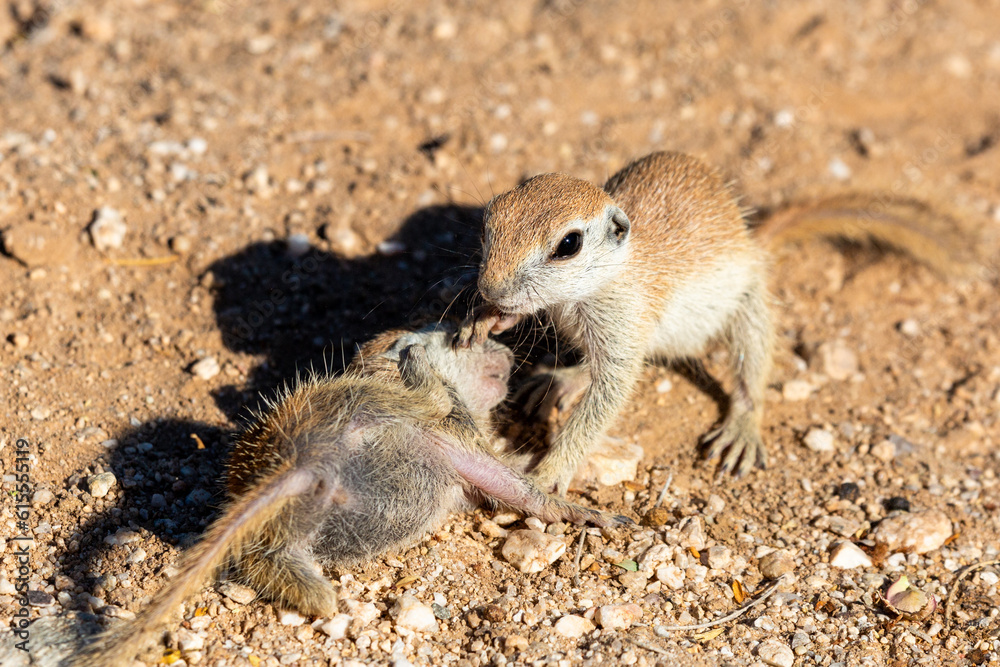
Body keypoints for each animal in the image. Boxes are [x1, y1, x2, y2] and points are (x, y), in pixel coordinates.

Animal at [68, 323, 629, 667]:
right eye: (458, 334)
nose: (507, 349)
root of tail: (304, 460)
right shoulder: (456, 431)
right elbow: (519, 489)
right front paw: (590, 512)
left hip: (291, 527)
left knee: (278, 565)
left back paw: (324, 597)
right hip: (370, 404)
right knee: (423, 400)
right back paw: (420, 371)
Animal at [457, 150, 975, 494]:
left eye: (568, 244)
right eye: (491, 216)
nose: (490, 288)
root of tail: (752, 241)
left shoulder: (624, 323)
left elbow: (606, 402)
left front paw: (547, 473)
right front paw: (482, 320)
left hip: (750, 307)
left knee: (749, 369)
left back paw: (742, 428)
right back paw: (560, 379)